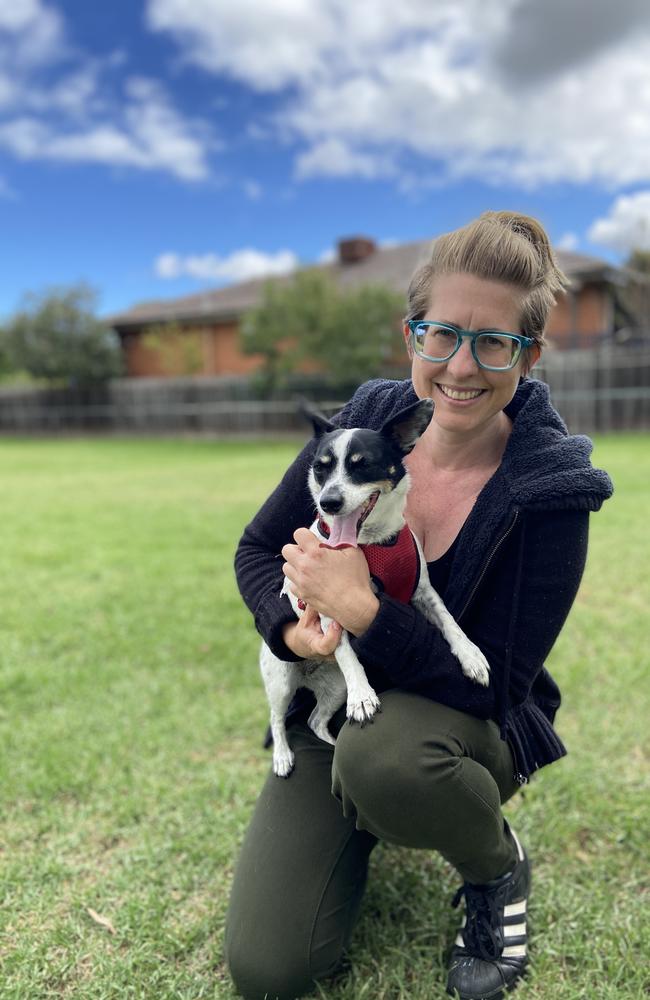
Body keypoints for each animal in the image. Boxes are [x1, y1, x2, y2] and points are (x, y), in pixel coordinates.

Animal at [258, 402, 486, 776]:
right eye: (319, 469)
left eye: (362, 464)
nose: (328, 502)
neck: (372, 542)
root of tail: (309, 677)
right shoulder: (326, 603)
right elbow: (346, 652)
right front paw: (363, 695)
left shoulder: (424, 593)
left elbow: (450, 622)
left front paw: (470, 656)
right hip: (281, 678)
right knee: (278, 719)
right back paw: (282, 756)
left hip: (334, 689)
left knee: (315, 720)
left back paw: (331, 744)